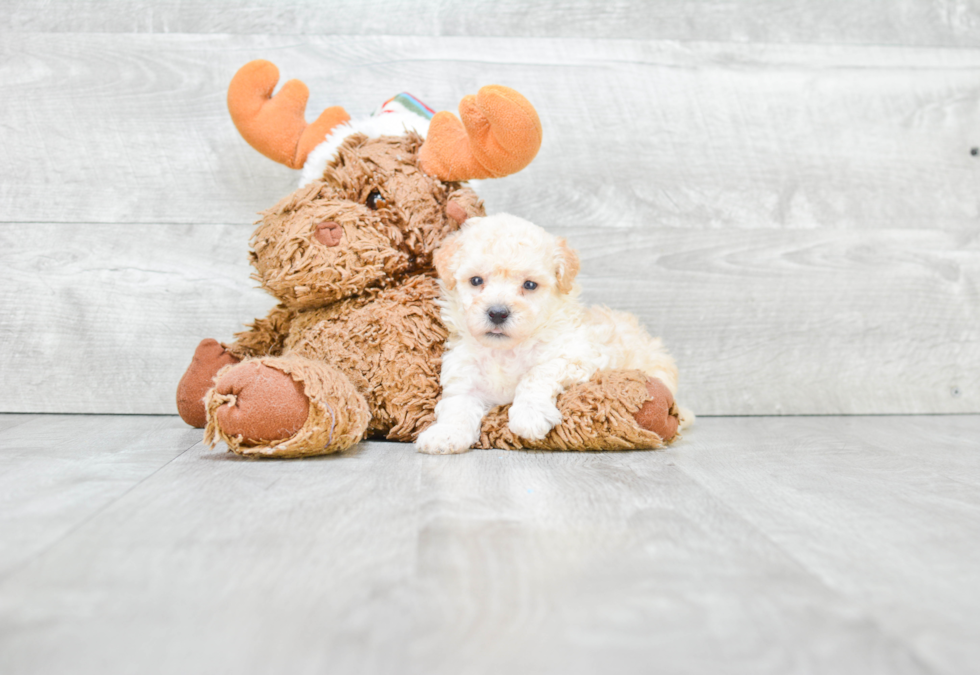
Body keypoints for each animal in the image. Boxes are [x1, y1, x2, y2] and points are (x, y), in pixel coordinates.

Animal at [416, 214, 688, 456]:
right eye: (475, 280)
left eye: (529, 285)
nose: (498, 313)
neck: (505, 352)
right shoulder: (464, 377)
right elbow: (456, 406)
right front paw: (445, 435)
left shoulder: (578, 354)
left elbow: (537, 373)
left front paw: (529, 415)